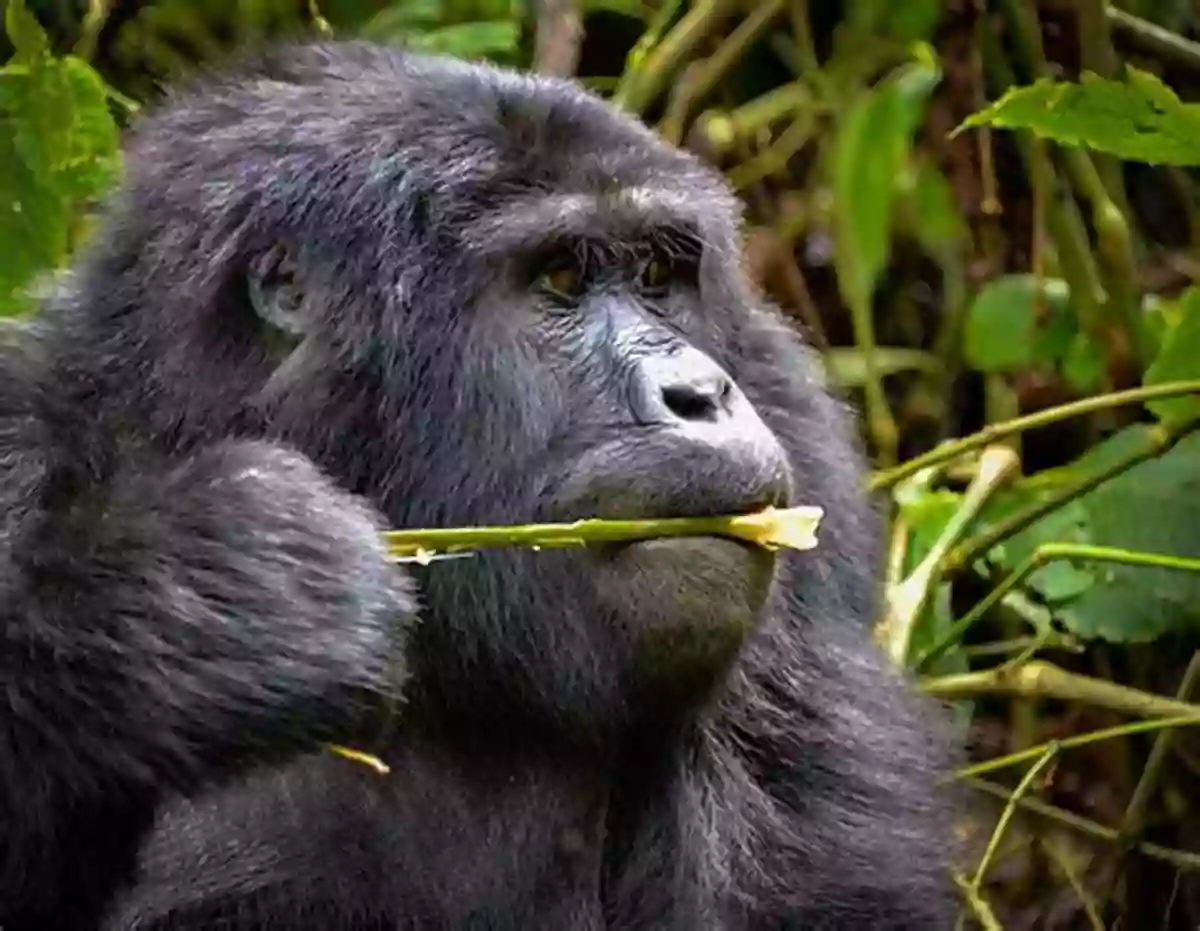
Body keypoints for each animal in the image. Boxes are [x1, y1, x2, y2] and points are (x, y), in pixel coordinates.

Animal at [0, 38, 955, 931]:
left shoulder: (796, 427)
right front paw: (213, 592)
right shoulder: (21, 440)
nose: (700, 393)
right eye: (562, 277)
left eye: (657, 275)